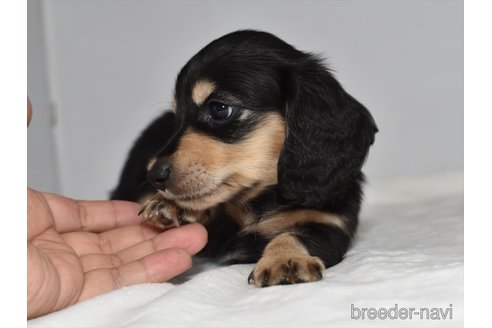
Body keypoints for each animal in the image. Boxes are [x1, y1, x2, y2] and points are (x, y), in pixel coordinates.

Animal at [112, 30, 380, 288]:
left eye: (219, 108)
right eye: (176, 118)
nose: (154, 176)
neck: (259, 200)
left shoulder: (330, 223)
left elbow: (292, 235)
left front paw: (285, 259)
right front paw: (173, 205)